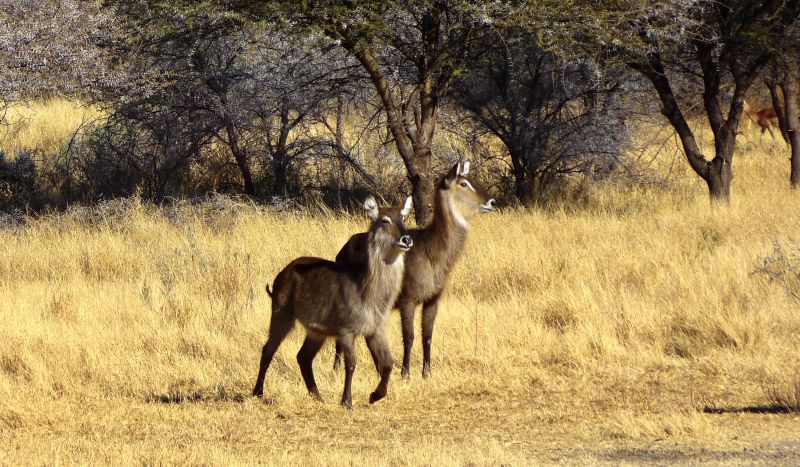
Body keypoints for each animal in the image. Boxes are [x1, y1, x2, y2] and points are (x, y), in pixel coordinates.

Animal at [252, 197, 412, 410]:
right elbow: (351, 364)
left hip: (316, 332)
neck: (366, 289)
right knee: (268, 350)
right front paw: (347, 401)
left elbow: (388, 363)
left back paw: (317, 396)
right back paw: (258, 392)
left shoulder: (375, 329)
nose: (406, 240)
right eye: (385, 220)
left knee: (303, 357)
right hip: (281, 316)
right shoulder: (347, 331)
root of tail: (283, 272)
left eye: (403, 217)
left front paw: (375, 395)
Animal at [332, 161, 494, 380]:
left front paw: (427, 373)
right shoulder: (408, 300)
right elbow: (409, 337)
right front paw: (405, 373)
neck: (432, 252)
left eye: (472, 179)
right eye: (464, 183)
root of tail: (342, 250)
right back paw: (336, 369)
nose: (492, 201)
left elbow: (427, 335)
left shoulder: (433, 299)